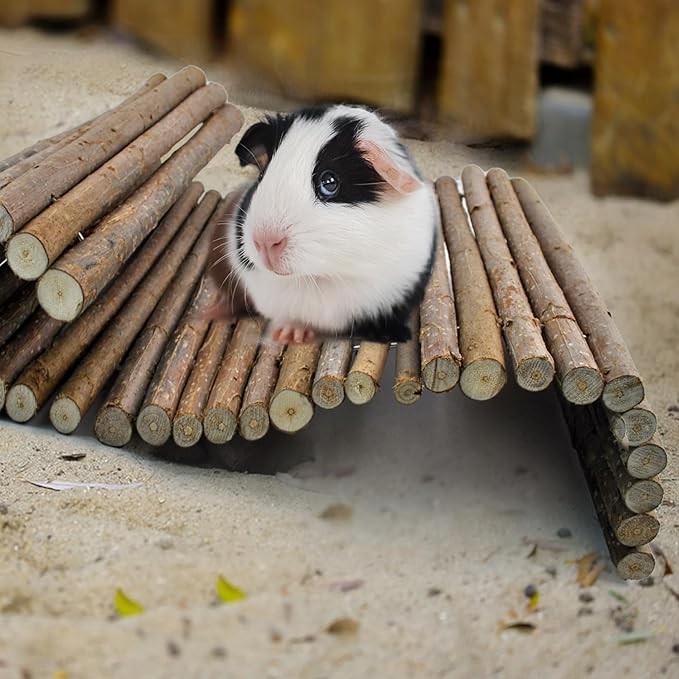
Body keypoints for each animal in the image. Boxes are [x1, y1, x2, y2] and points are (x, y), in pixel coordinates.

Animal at [209, 104, 437, 344]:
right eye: (261, 176)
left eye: (329, 182)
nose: (266, 242)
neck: (321, 276)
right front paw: (290, 335)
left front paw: (393, 336)